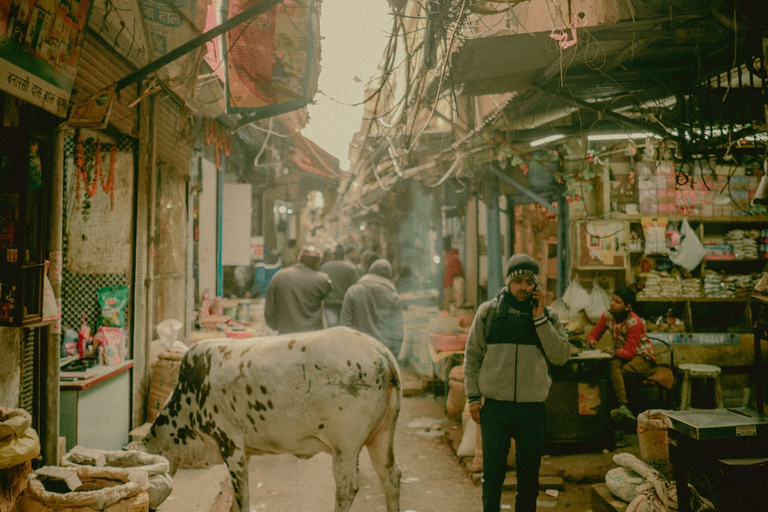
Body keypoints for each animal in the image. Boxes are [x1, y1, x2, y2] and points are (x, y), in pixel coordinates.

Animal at [141, 326, 402, 512]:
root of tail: (380, 352)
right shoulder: (244, 451)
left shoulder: (230, 444)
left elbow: (242, 497)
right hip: (382, 436)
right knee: (391, 476)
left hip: (344, 447)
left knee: (347, 488)